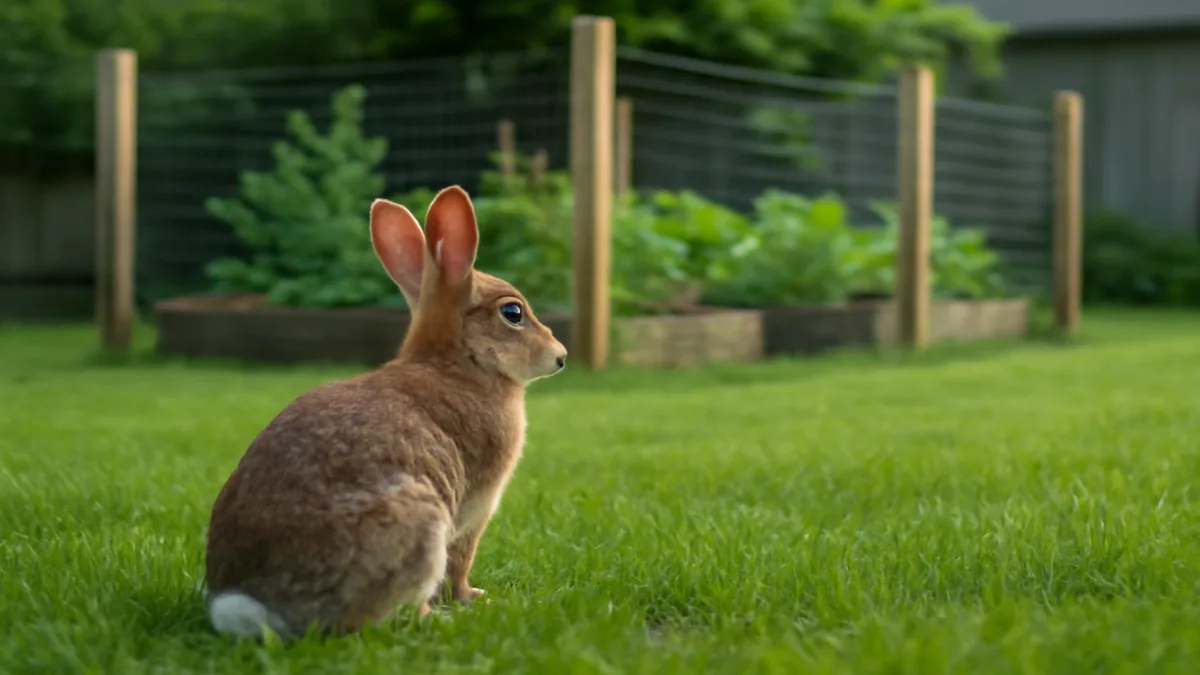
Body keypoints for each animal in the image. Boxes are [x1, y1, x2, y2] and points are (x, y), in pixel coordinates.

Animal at [203, 185, 568, 640]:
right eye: (513, 313)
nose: (560, 356)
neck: (458, 363)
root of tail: (256, 606)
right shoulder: (472, 512)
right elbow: (460, 563)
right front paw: (472, 598)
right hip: (421, 526)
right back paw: (437, 618)